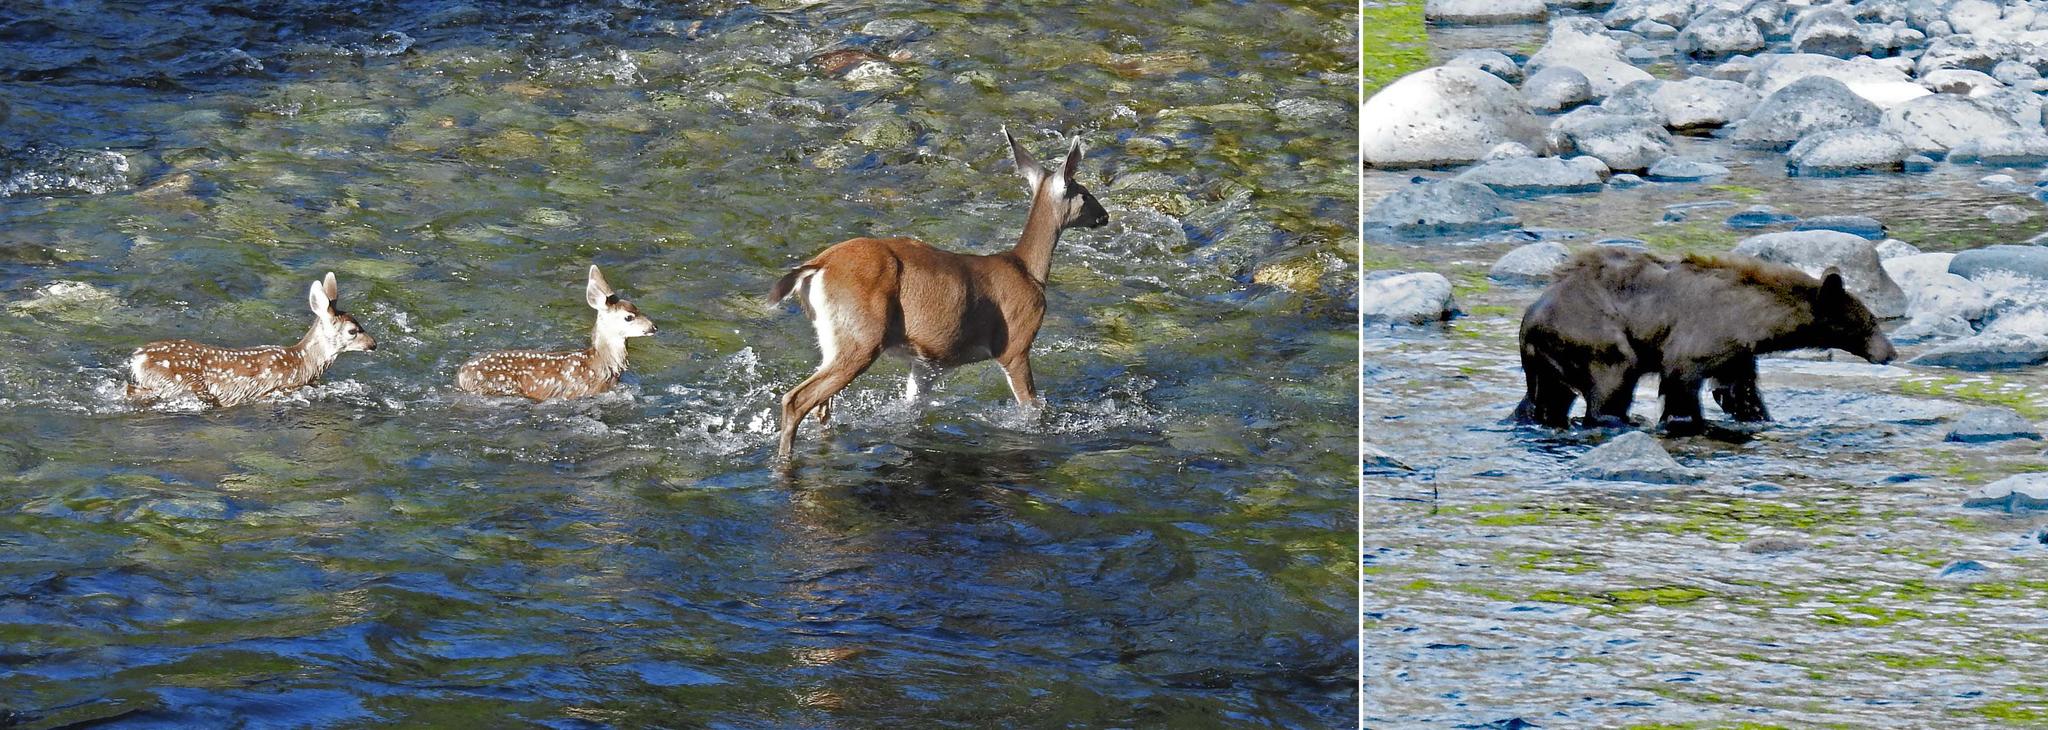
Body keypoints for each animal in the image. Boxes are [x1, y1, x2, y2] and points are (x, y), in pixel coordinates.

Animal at [767, 127, 1109, 456]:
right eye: (1084, 193)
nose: (1105, 215)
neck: (1027, 269)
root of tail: (818, 265)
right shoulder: (1015, 345)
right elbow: (1032, 409)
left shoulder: (926, 365)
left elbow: (913, 411)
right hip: (862, 337)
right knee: (796, 399)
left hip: (833, 340)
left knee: (820, 406)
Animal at [1512, 247, 1896, 435]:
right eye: (1871, 322)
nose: (1890, 353)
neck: (1753, 316)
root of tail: (1530, 321)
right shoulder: (1701, 334)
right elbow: (1682, 381)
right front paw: (1687, 422)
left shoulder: (1737, 350)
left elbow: (1738, 389)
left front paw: (1758, 416)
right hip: (1596, 336)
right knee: (1612, 381)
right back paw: (1619, 420)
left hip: (1549, 357)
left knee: (1545, 397)